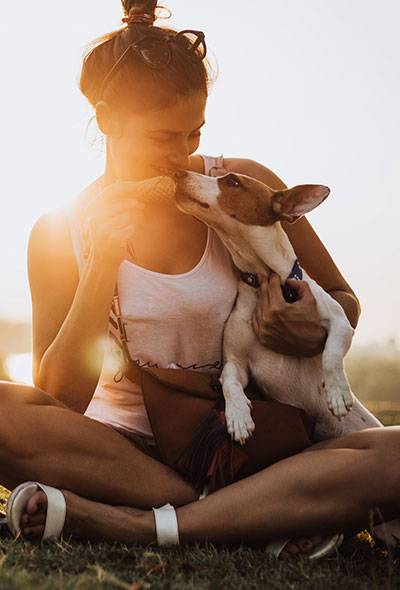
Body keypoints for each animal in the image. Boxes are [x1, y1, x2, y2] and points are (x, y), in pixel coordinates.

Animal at [173, 168, 382, 444]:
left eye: (232, 181)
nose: (177, 173)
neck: (266, 277)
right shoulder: (236, 362)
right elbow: (229, 381)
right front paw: (238, 416)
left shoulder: (340, 323)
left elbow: (331, 354)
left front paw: (337, 393)